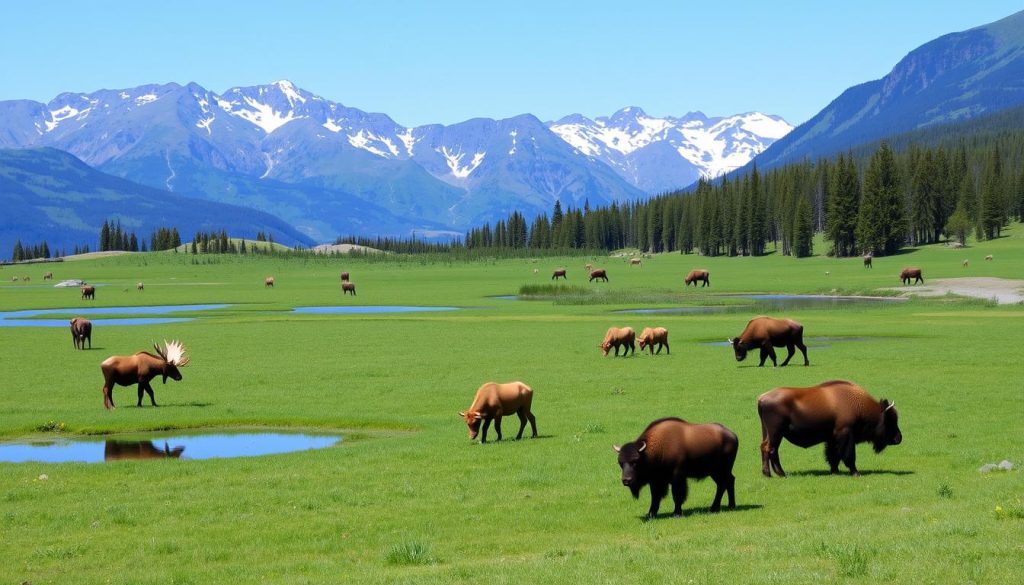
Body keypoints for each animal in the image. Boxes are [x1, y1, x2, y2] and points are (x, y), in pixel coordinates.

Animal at [757, 383, 901, 477]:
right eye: (890, 420)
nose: (898, 438)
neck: (858, 405)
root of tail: (762, 398)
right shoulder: (846, 434)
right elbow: (848, 455)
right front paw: (856, 473)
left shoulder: (832, 438)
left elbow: (833, 455)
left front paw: (835, 471)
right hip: (776, 433)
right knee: (771, 449)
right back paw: (778, 473)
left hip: (768, 432)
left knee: (766, 447)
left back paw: (770, 473)